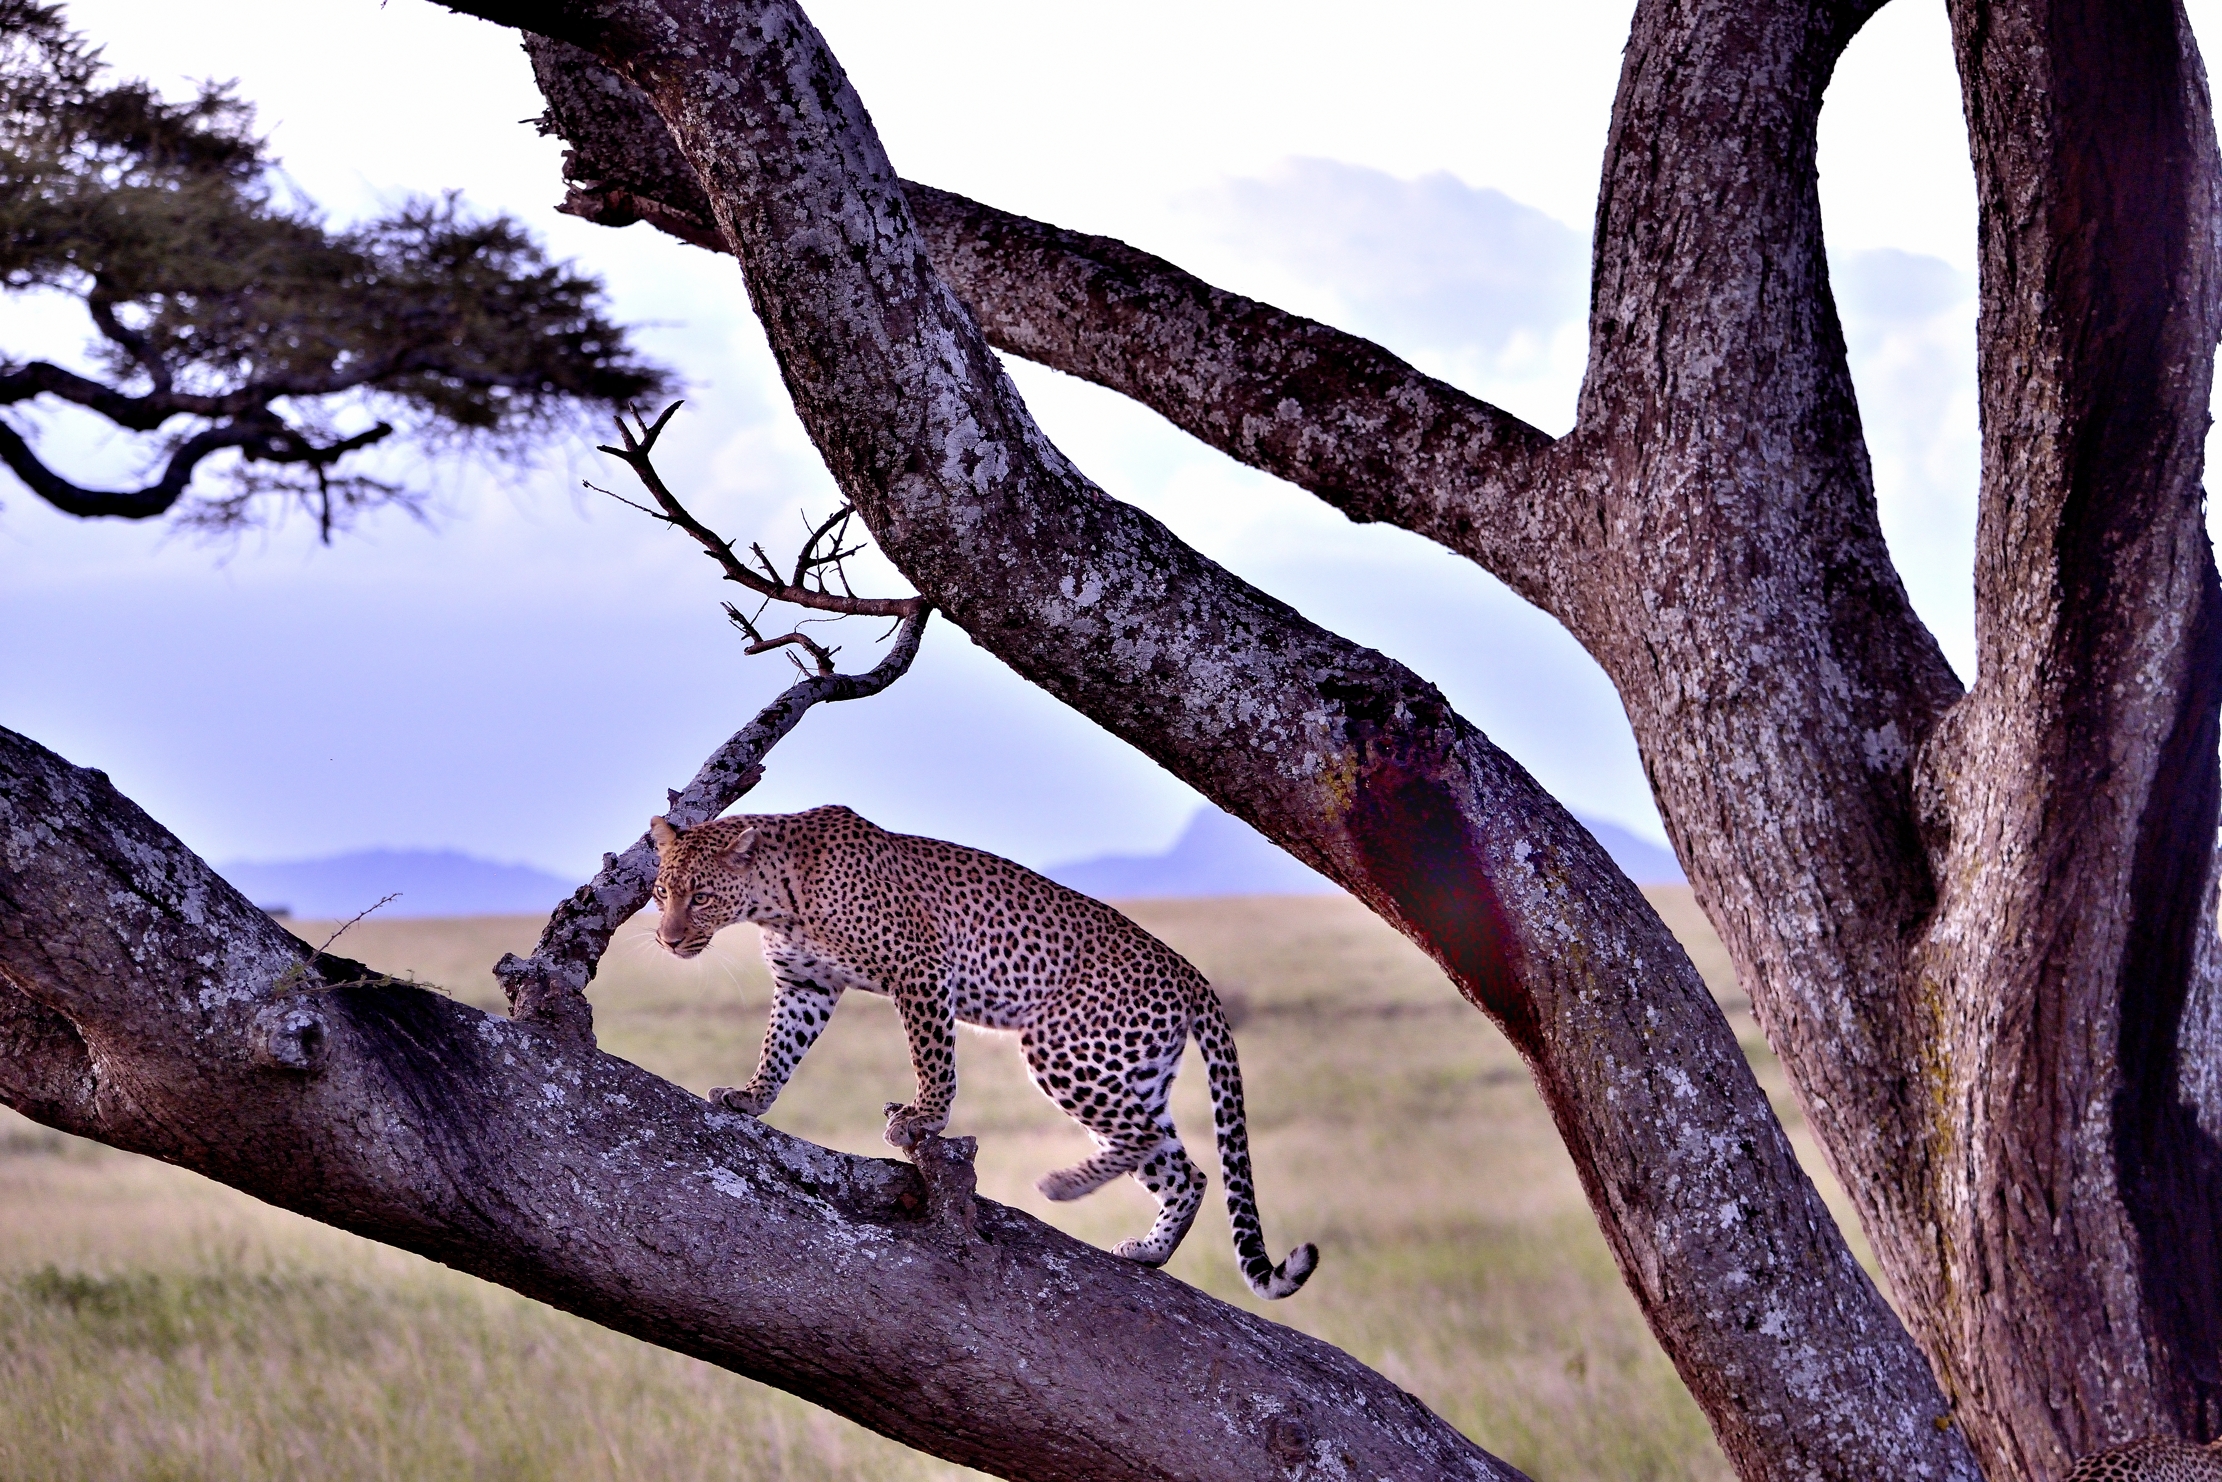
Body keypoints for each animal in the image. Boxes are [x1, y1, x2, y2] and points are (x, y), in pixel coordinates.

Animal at [647, 804, 1318, 1299]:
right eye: (659, 893)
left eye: (700, 897)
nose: (667, 939)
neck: (777, 899)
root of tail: (1190, 972)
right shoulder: (805, 987)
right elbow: (779, 1047)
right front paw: (750, 1096)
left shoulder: (920, 969)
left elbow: (933, 1057)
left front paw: (923, 1119)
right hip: (1131, 1069)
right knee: (1187, 1169)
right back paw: (1148, 1251)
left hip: (1064, 1048)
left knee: (1147, 1139)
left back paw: (1062, 1185)